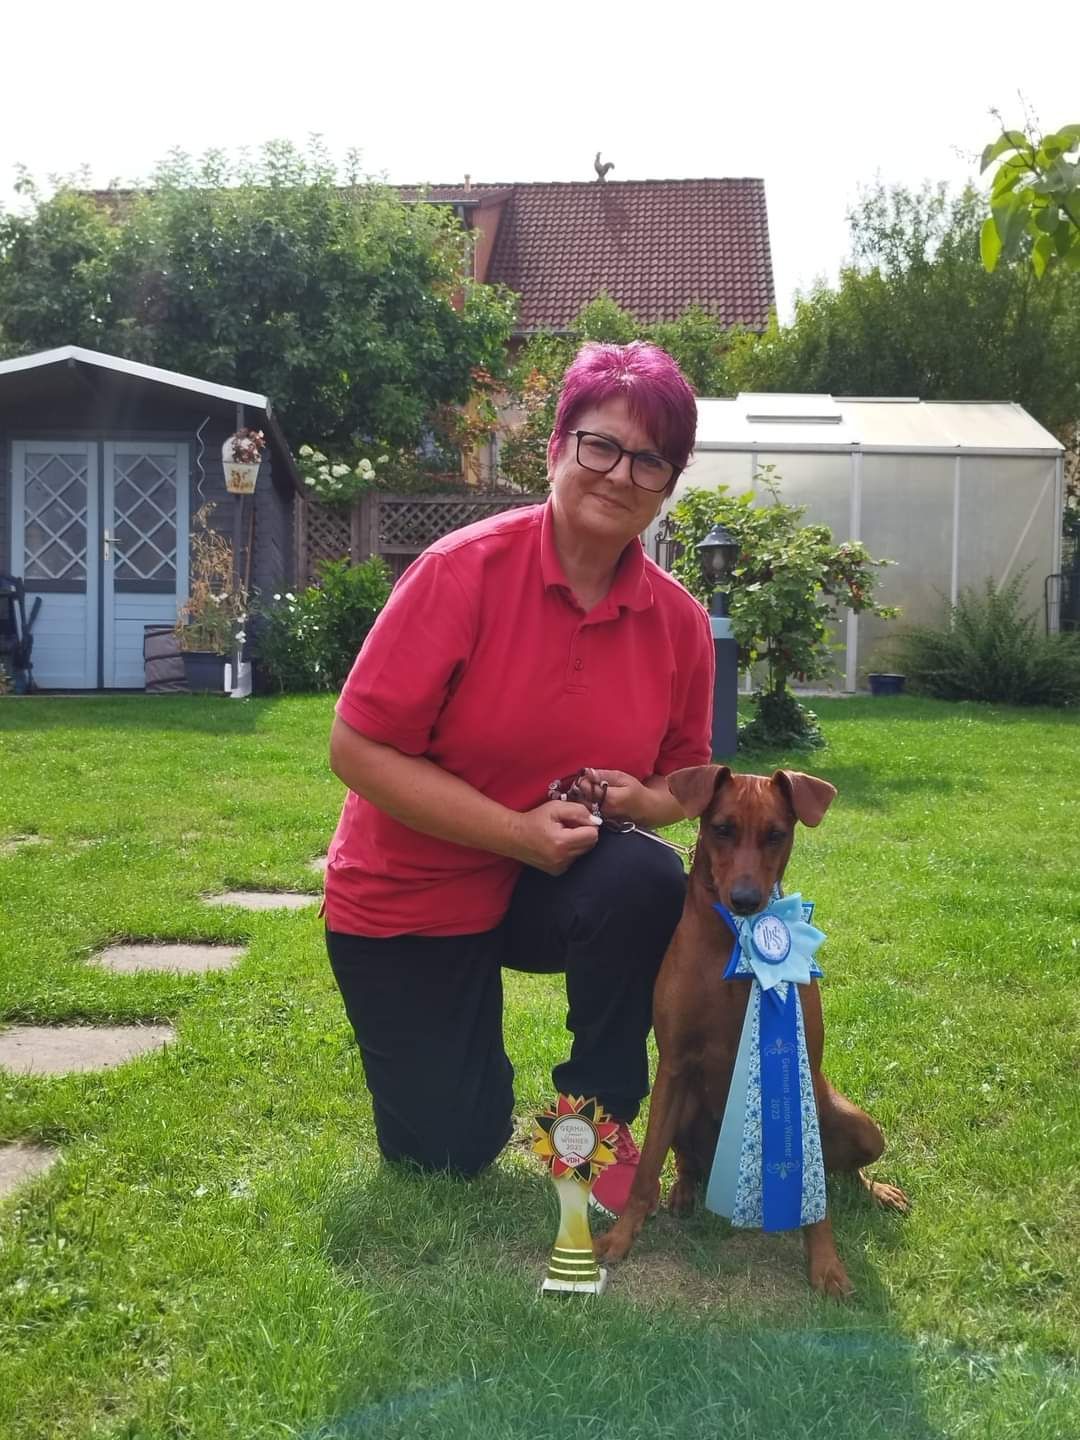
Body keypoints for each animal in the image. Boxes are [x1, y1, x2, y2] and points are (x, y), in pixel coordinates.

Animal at [593, 765, 909, 1297]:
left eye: (776, 834)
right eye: (721, 829)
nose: (745, 901)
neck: (729, 944)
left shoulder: (804, 1066)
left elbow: (815, 1196)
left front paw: (827, 1264)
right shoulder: (673, 1067)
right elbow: (646, 1170)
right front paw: (620, 1238)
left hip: (860, 1125)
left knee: (842, 1175)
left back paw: (877, 1191)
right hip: (685, 1111)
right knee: (686, 1162)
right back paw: (682, 1193)